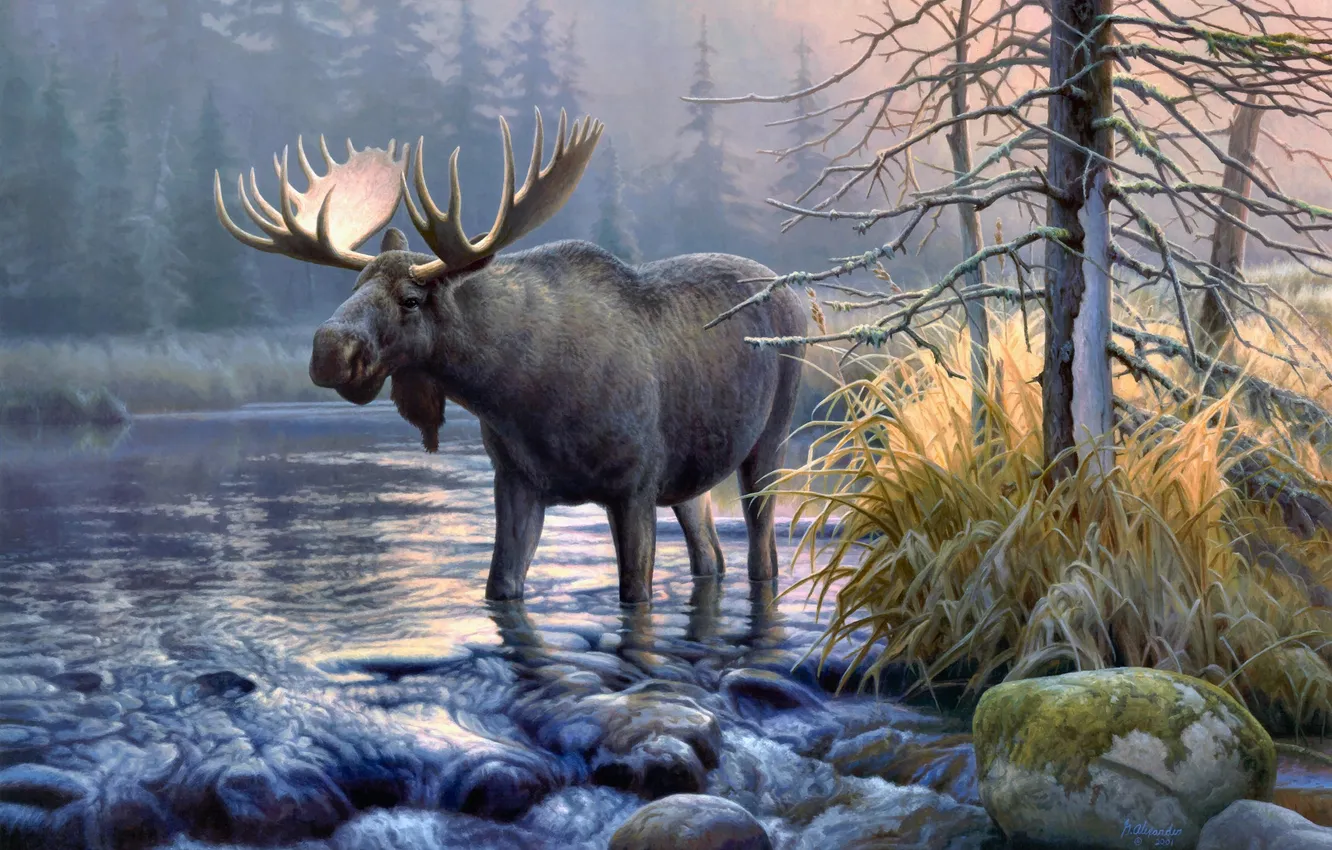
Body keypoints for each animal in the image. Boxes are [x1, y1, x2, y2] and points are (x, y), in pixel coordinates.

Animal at [213, 108, 806, 606]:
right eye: (355, 285)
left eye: (410, 299)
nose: (329, 350)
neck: (516, 392)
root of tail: (801, 296)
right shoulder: (516, 481)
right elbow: (500, 586)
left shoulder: (635, 486)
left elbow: (634, 594)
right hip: (692, 476)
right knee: (711, 555)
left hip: (769, 441)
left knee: (763, 555)